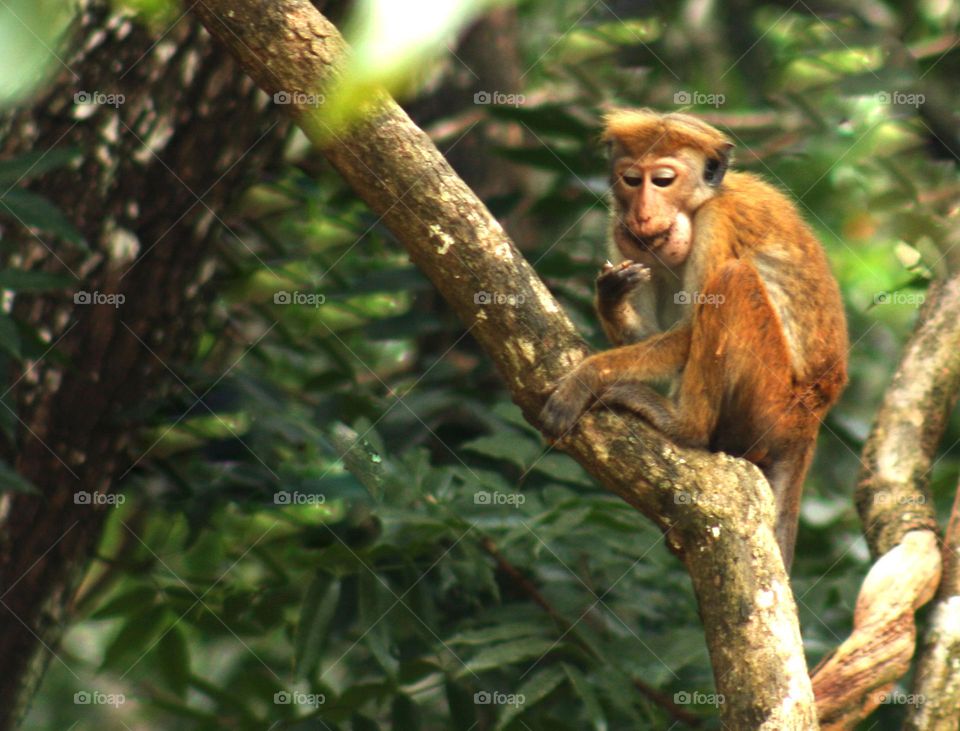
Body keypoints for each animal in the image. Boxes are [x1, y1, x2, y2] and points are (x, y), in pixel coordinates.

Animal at [539, 109, 848, 569]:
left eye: (664, 180)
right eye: (632, 179)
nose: (643, 213)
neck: (698, 204)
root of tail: (811, 422)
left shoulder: (715, 221)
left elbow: (687, 333)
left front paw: (587, 376)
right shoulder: (622, 233)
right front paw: (610, 296)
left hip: (774, 405)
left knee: (734, 281)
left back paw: (686, 428)